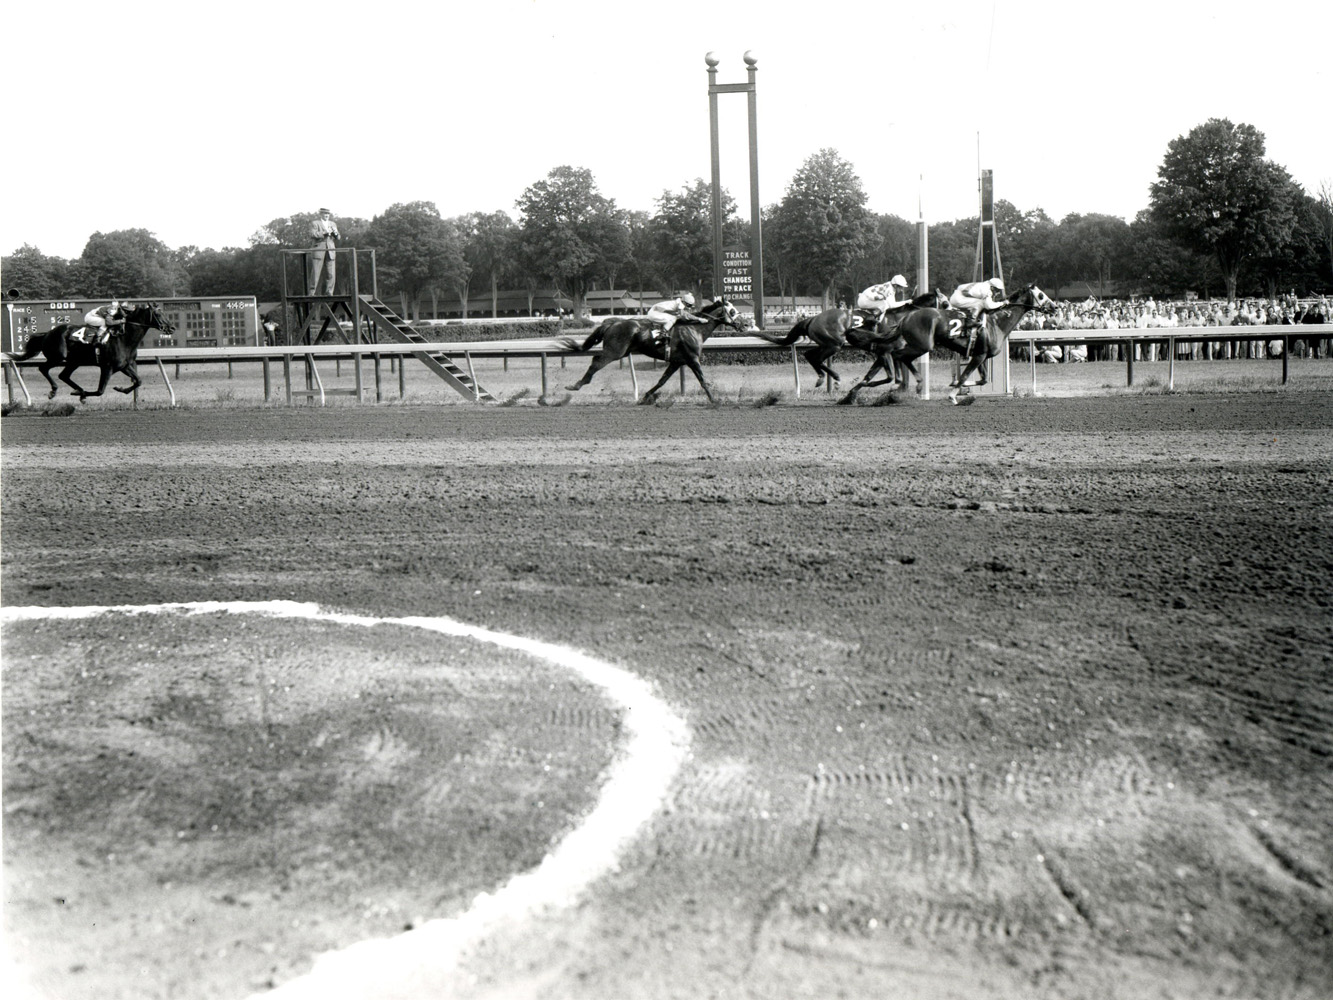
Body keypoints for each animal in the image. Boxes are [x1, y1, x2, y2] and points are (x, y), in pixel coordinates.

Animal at [7, 301, 174, 402]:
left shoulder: (124, 366)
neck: (124, 338)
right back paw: (55, 391)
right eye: (158, 314)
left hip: (74, 361)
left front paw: (121, 389)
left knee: (63, 375)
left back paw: (78, 390)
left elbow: (138, 381)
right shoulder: (107, 367)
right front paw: (81, 395)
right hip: (58, 357)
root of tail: (48, 333)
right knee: (43, 368)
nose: (172, 327)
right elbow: (100, 390)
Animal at [562, 300, 751, 405]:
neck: (693, 328)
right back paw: (576, 385)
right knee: (596, 363)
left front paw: (645, 397)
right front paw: (715, 400)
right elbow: (703, 381)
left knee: (595, 359)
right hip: (614, 352)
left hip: (619, 352)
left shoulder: (677, 362)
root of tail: (612, 323)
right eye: (732, 311)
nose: (746, 324)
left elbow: (662, 381)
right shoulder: (692, 359)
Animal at [847, 282, 1055, 402]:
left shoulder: (980, 354)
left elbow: (982, 379)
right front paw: (953, 395)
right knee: (899, 356)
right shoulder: (979, 355)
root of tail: (906, 317)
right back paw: (913, 385)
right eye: (1041, 295)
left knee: (898, 359)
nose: (1054, 307)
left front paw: (957, 388)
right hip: (923, 345)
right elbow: (965, 376)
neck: (997, 322)